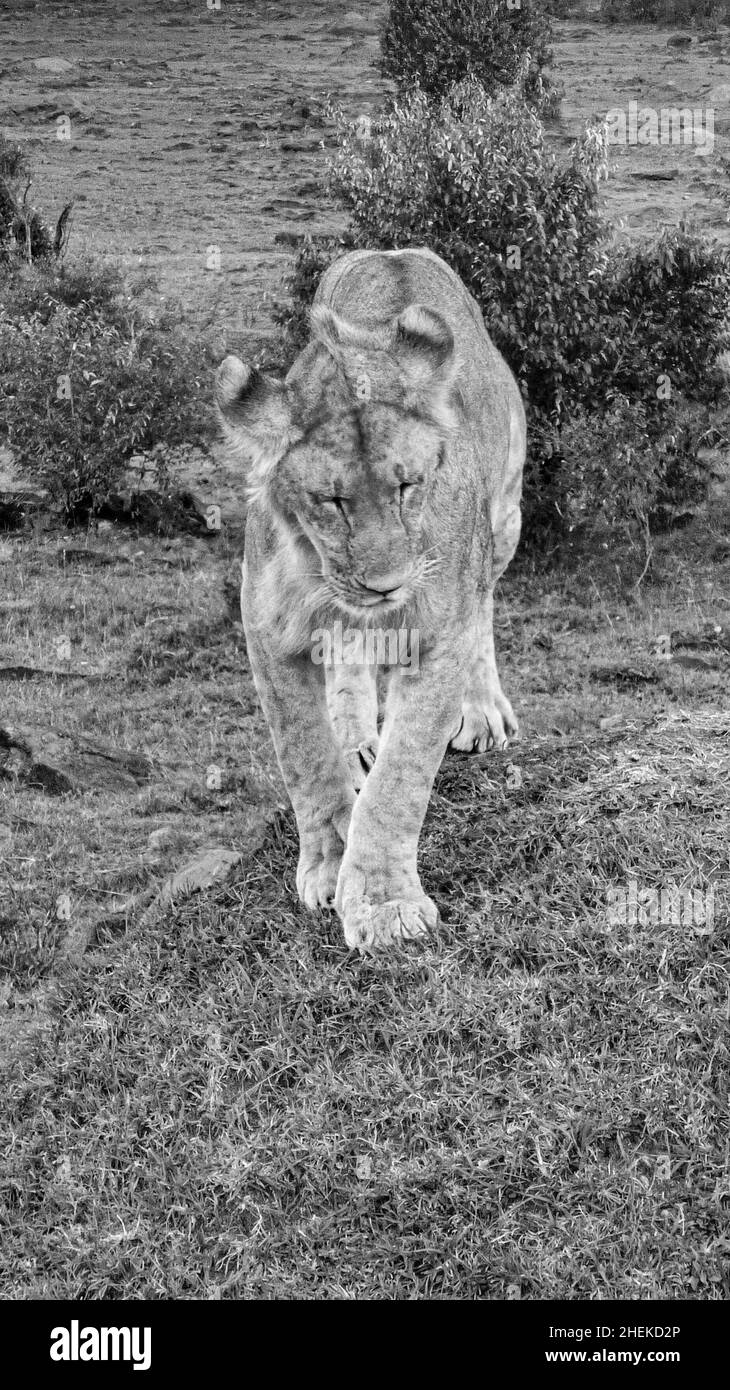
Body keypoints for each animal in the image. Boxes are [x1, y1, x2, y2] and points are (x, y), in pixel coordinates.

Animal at [216, 247, 526, 951]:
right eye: (332, 502)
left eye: (408, 487)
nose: (386, 585)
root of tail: (396, 251)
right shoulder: (267, 628)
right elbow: (304, 756)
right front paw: (330, 862)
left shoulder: (440, 630)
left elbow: (402, 776)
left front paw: (384, 906)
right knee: (346, 657)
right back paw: (355, 736)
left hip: (504, 520)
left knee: (484, 608)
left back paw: (481, 711)